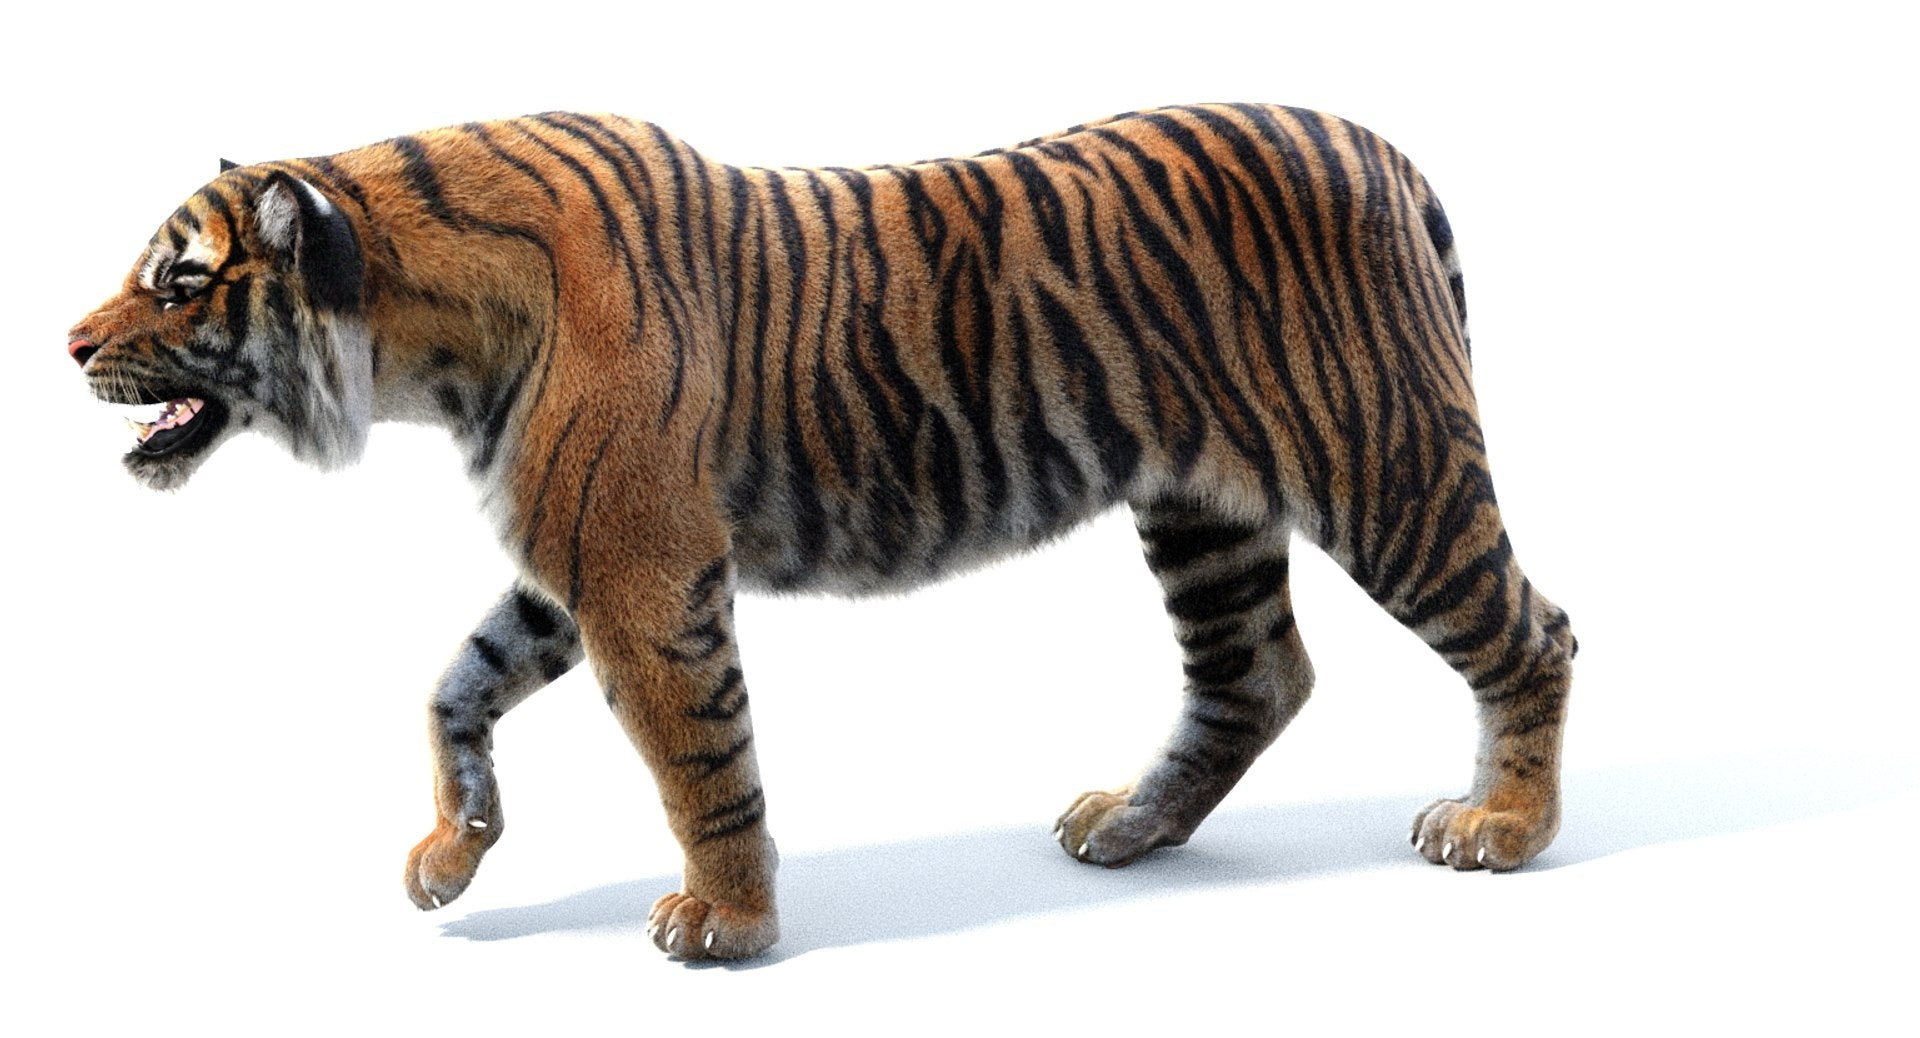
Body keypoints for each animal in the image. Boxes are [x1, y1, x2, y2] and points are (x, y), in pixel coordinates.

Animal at [68, 104, 1576, 960]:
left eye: (179, 281)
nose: (69, 343)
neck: (417, 349)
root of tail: (1380, 147)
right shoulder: (572, 554)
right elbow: (457, 684)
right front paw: (454, 854)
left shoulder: (641, 569)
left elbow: (700, 759)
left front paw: (727, 923)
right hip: (1202, 508)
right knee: (1255, 673)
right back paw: (1128, 826)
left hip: (1386, 466)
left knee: (1533, 632)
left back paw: (1502, 825)